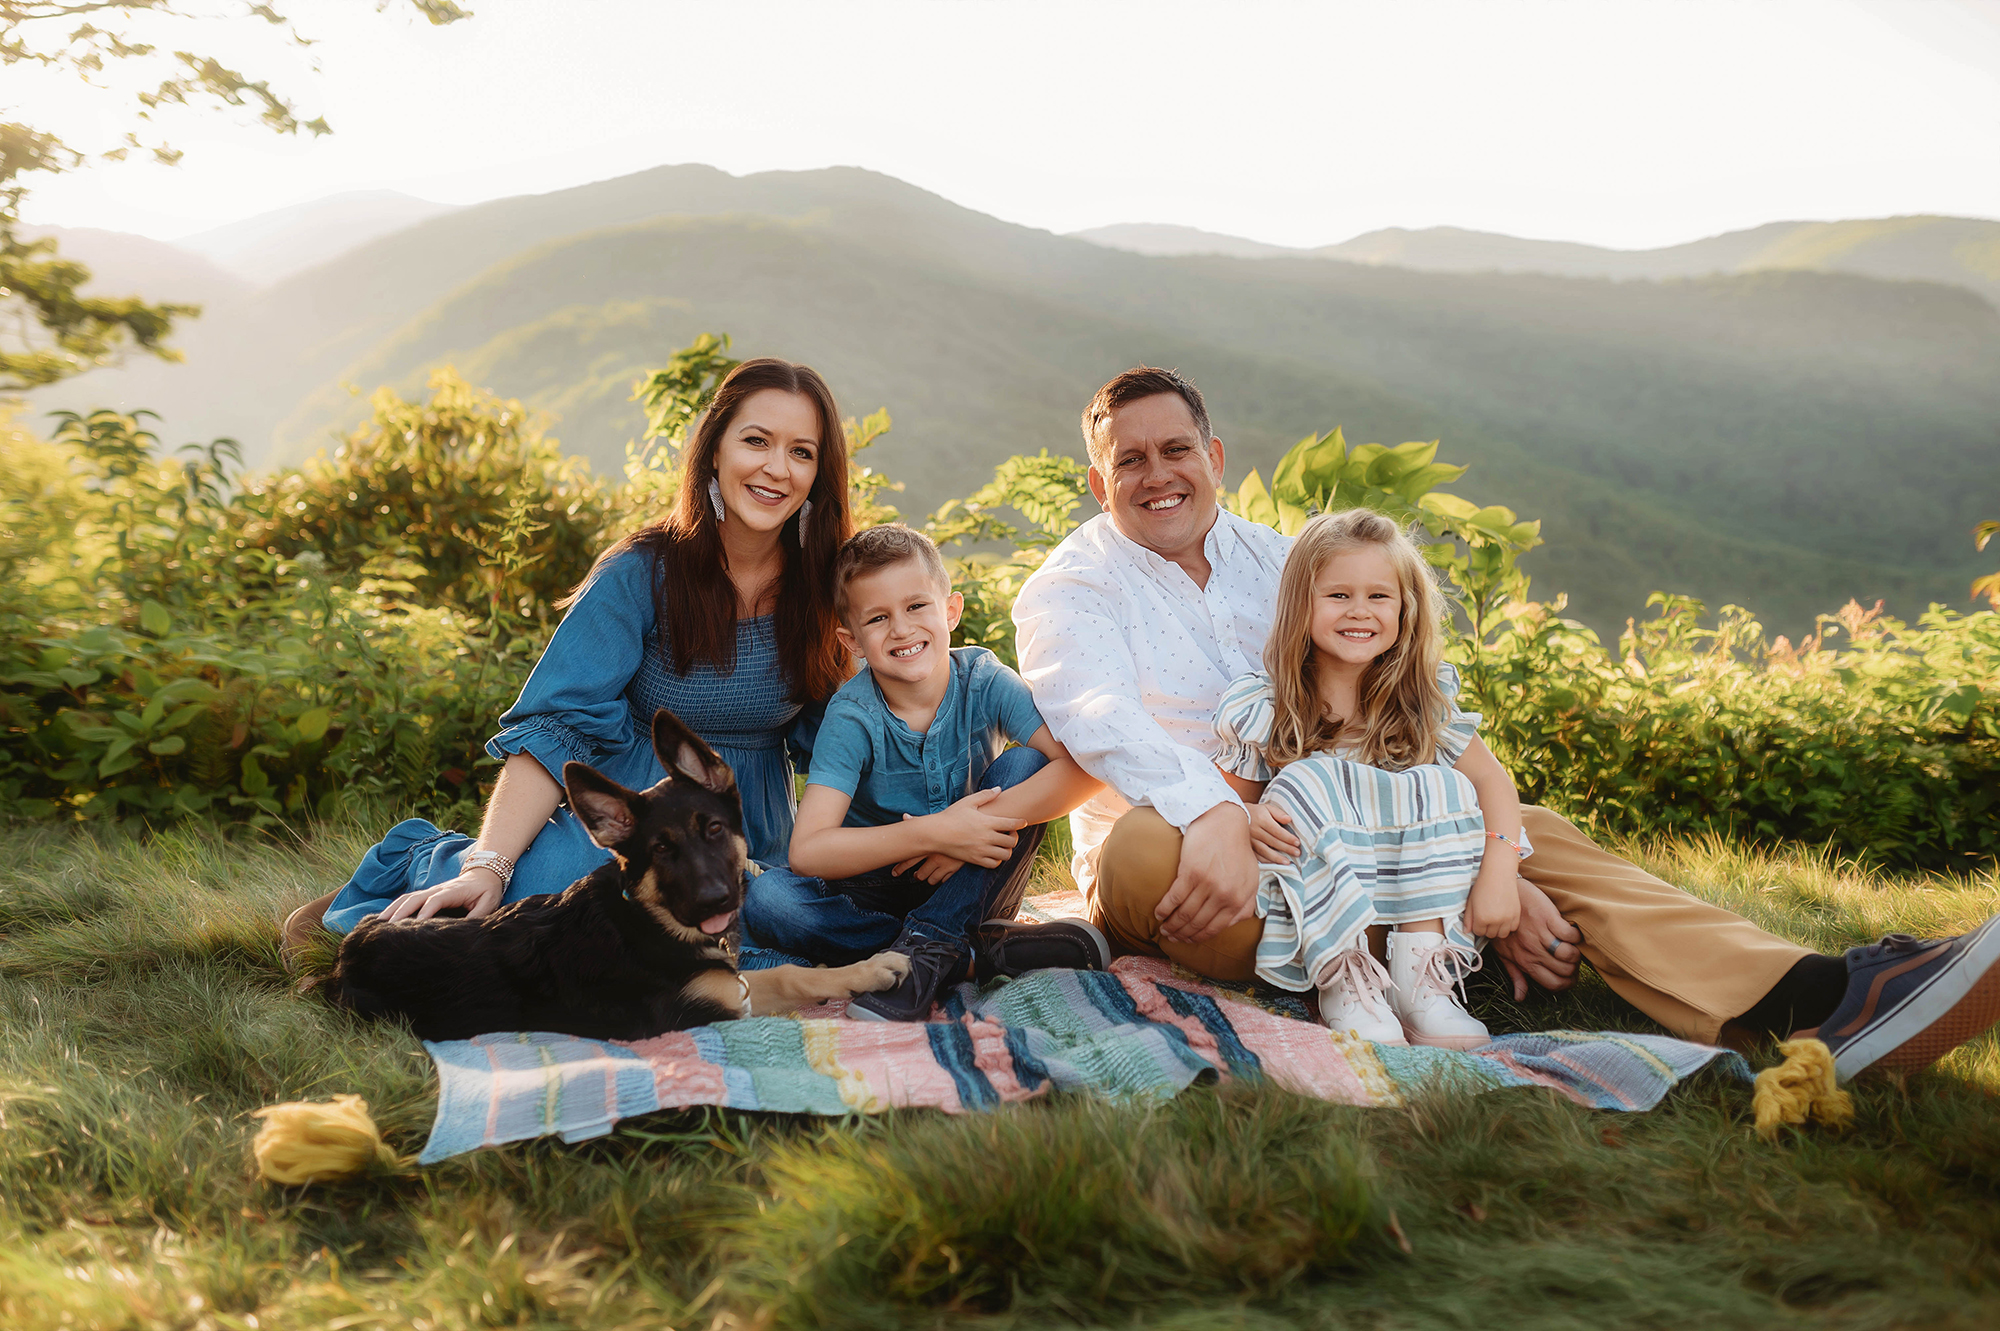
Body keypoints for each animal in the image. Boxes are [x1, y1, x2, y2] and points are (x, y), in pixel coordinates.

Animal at [322, 711, 916, 1039]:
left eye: (713, 830)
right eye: (660, 851)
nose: (715, 900)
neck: (649, 921)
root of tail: (353, 943)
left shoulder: (732, 986)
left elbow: (794, 973)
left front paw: (869, 969)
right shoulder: (703, 1014)